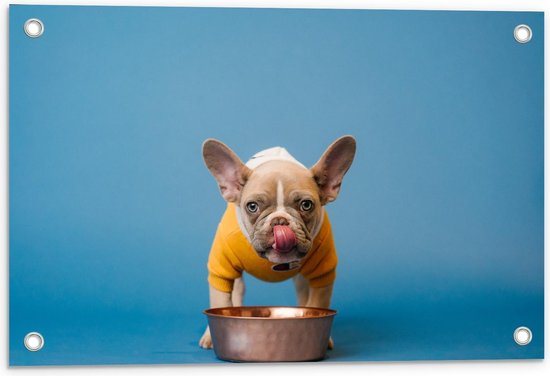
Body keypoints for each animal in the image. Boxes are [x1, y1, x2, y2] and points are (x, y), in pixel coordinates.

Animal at [199, 135, 358, 350]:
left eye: (306, 205)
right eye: (252, 206)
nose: (280, 220)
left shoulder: (322, 274)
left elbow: (318, 303)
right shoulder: (221, 270)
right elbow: (219, 301)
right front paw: (211, 335)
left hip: (302, 280)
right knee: (236, 293)